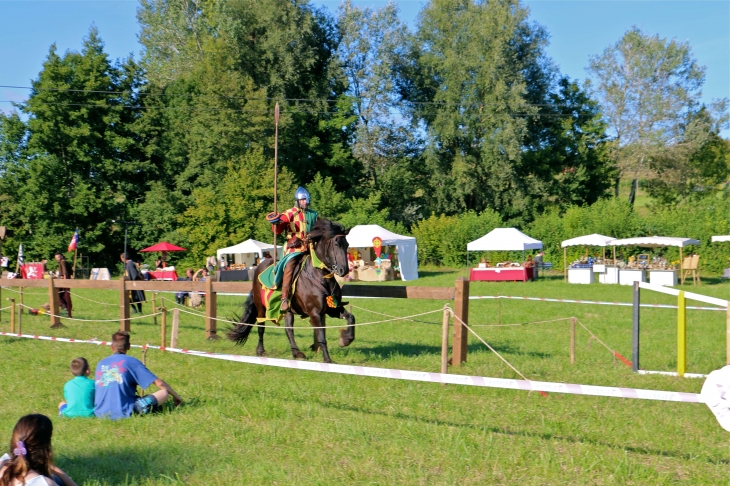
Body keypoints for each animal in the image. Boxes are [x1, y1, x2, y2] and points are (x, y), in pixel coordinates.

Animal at [226, 218, 354, 362]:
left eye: (347, 244)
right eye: (336, 244)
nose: (344, 270)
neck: (320, 277)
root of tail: (259, 267)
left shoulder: (332, 309)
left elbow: (351, 318)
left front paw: (345, 339)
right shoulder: (315, 312)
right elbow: (321, 335)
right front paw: (327, 359)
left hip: (287, 310)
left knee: (288, 329)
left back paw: (296, 353)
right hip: (261, 307)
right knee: (261, 326)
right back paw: (260, 350)